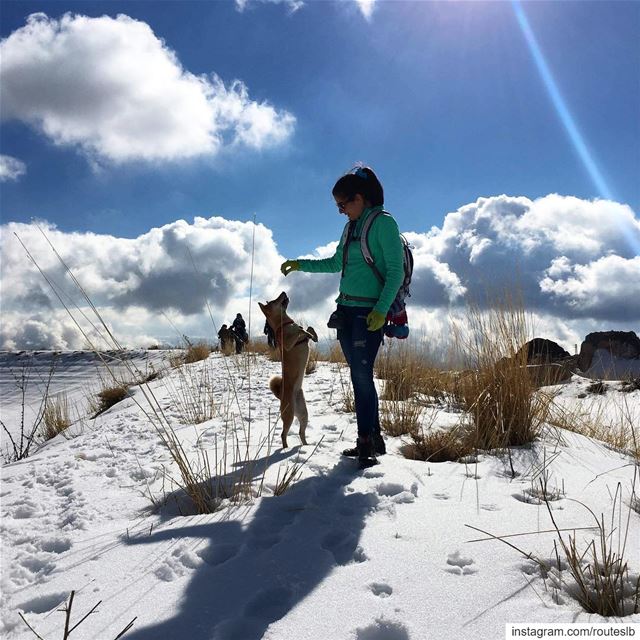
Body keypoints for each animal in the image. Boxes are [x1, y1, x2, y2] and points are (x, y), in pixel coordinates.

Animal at [258, 292, 318, 448]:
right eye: (275, 300)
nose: (284, 292)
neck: (285, 323)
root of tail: (281, 396)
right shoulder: (288, 344)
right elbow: (299, 331)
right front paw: (302, 331)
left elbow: (309, 330)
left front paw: (310, 333)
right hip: (289, 415)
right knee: (283, 434)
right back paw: (286, 448)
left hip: (303, 414)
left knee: (301, 432)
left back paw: (306, 445)